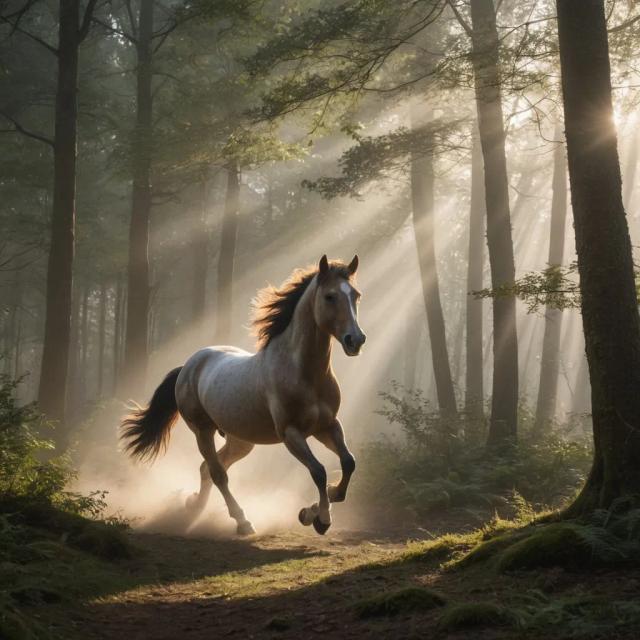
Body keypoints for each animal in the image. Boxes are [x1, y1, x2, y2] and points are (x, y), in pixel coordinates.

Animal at [120, 255, 366, 535]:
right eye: (330, 296)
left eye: (356, 295)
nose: (356, 340)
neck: (302, 372)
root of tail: (190, 365)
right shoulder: (291, 433)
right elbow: (319, 471)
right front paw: (319, 518)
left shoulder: (327, 426)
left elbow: (348, 463)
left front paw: (314, 509)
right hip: (202, 430)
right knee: (218, 473)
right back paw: (242, 521)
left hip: (240, 440)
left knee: (207, 469)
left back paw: (194, 506)